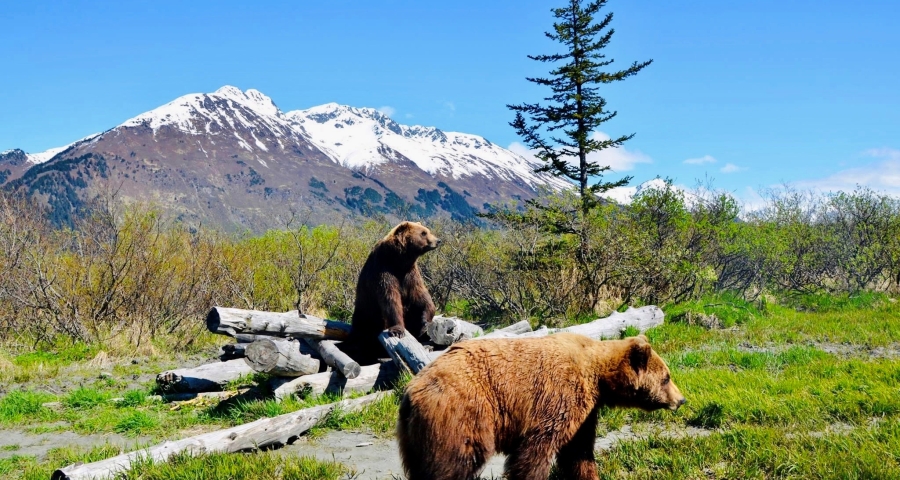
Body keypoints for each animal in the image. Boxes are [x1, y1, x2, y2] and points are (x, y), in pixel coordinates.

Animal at [347, 221, 441, 364]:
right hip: (366, 316)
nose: (438, 240)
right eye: (423, 233)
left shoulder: (410, 274)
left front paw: (425, 322)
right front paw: (397, 330)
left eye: (427, 230)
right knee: (362, 335)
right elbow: (391, 299)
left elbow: (421, 295)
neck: (398, 260)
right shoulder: (383, 271)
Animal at [397, 333, 686, 480]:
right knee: (456, 464)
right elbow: (537, 450)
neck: (598, 376)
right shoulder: (557, 395)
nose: (681, 400)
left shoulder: (584, 412)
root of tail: (411, 391)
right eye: (666, 377)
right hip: (462, 416)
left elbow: (579, 451)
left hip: (415, 438)